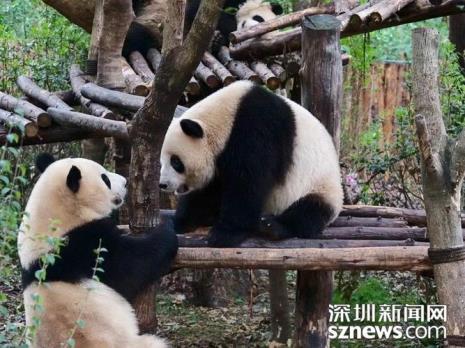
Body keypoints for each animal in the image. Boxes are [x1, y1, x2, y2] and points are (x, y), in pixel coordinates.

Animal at [158, 81, 342, 247]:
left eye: (176, 162)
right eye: (162, 162)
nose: (163, 184)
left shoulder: (257, 130)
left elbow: (247, 183)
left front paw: (225, 234)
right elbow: (208, 190)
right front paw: (181, 222)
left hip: (320, 186)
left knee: (308, 211)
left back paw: (272, 226)